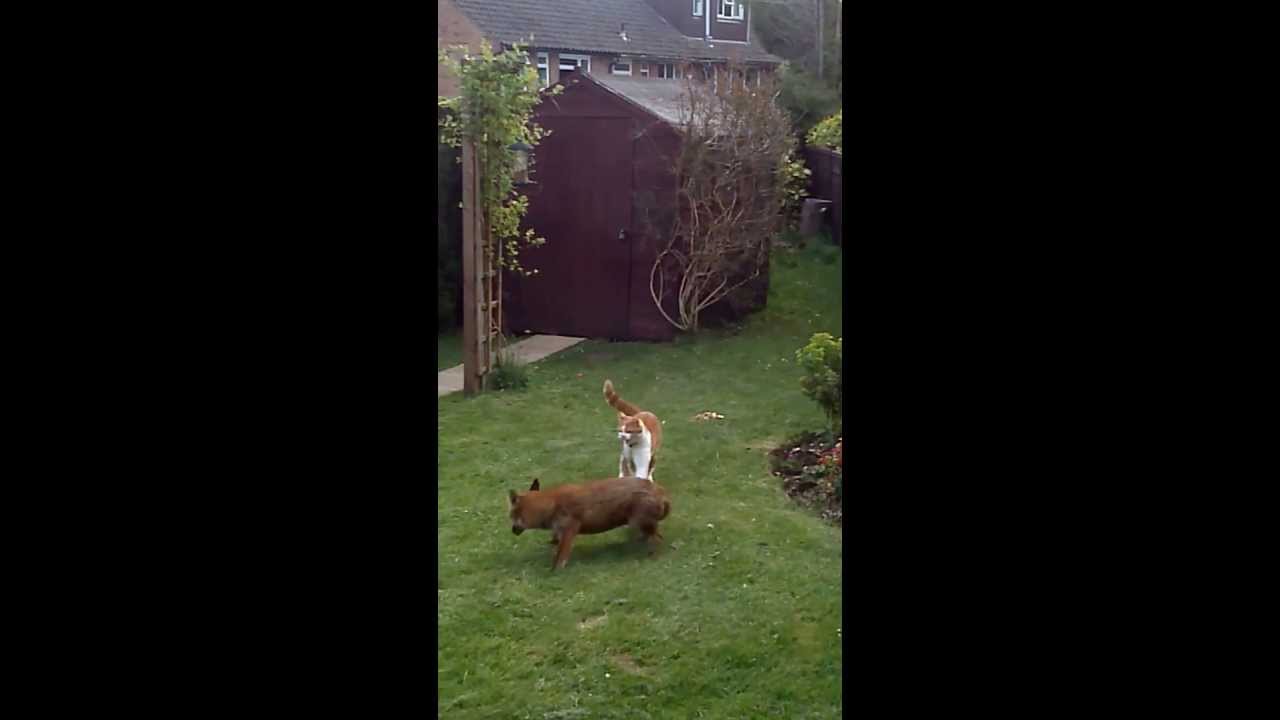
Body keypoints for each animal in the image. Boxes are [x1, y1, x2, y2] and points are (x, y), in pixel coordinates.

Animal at [507, 477, 672, 570]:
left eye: (511, 516)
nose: (512, 530)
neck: (551, 505)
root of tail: (660, 491)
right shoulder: (559, 532)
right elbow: (554, 544)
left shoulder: (569, 530)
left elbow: (560, 556)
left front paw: (555, 571)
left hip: (640, 523)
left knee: (658, 539)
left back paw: (653, 556)